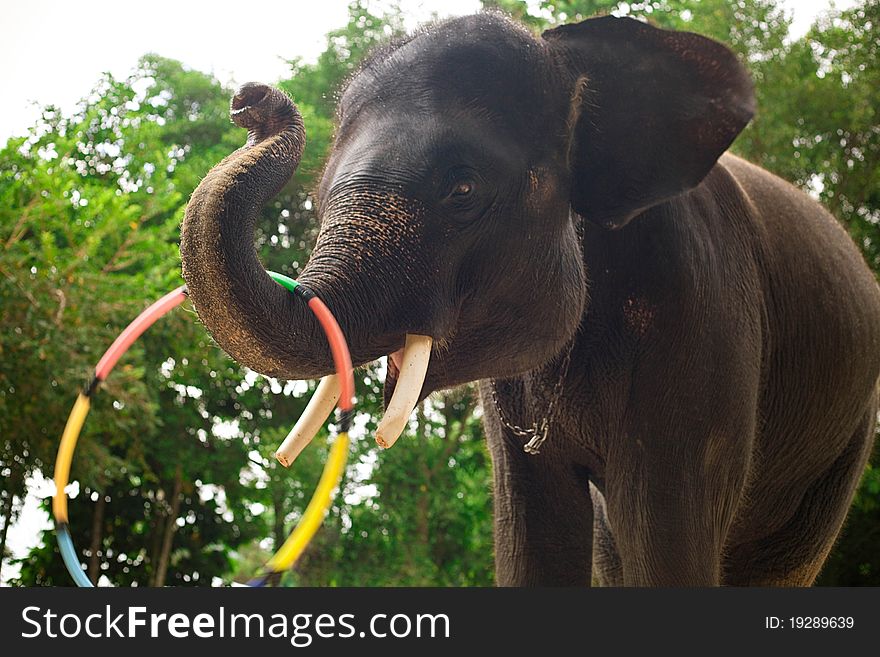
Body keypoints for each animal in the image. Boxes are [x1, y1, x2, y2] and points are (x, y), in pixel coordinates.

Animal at [179, 12, 880, 584]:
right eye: (322, 196)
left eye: (462, 189)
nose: (250, 101)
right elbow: (534, 536)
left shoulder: (702, 314)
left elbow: (666, 535)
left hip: (847, 438)